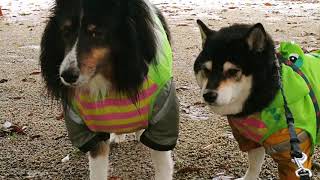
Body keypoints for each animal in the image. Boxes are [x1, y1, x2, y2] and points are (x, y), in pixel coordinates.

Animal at [39, 0, 180, 179]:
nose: (66, 76)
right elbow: (97, 166)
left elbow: (162, 163)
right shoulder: (90, 127)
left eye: (96, 33)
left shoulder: (163, 116)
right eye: (65, 32)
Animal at [194, 19, 318, 179]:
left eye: (233, 71)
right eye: (206, 70)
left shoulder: (292, 151)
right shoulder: (252, 141)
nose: (208, 95)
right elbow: (254, 166)